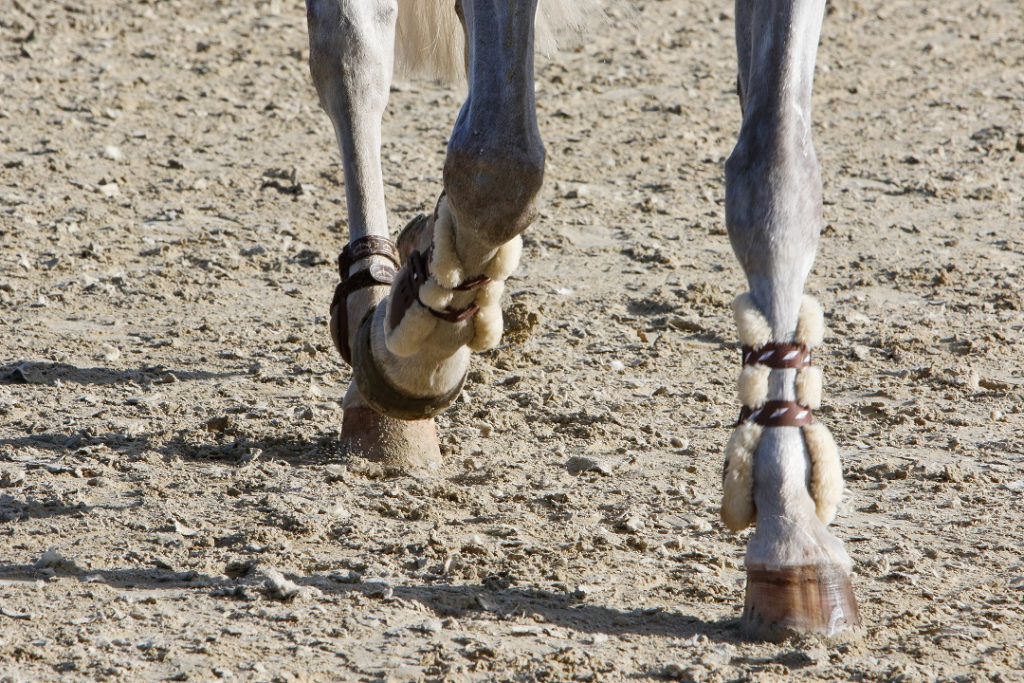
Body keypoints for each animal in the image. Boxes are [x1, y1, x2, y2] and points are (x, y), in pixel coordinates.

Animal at [303, 0, 859, 641]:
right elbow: (499, 162)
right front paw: (412, 346)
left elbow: (776, 173)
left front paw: (793, 536)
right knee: (352, 48)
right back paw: (381, 327)